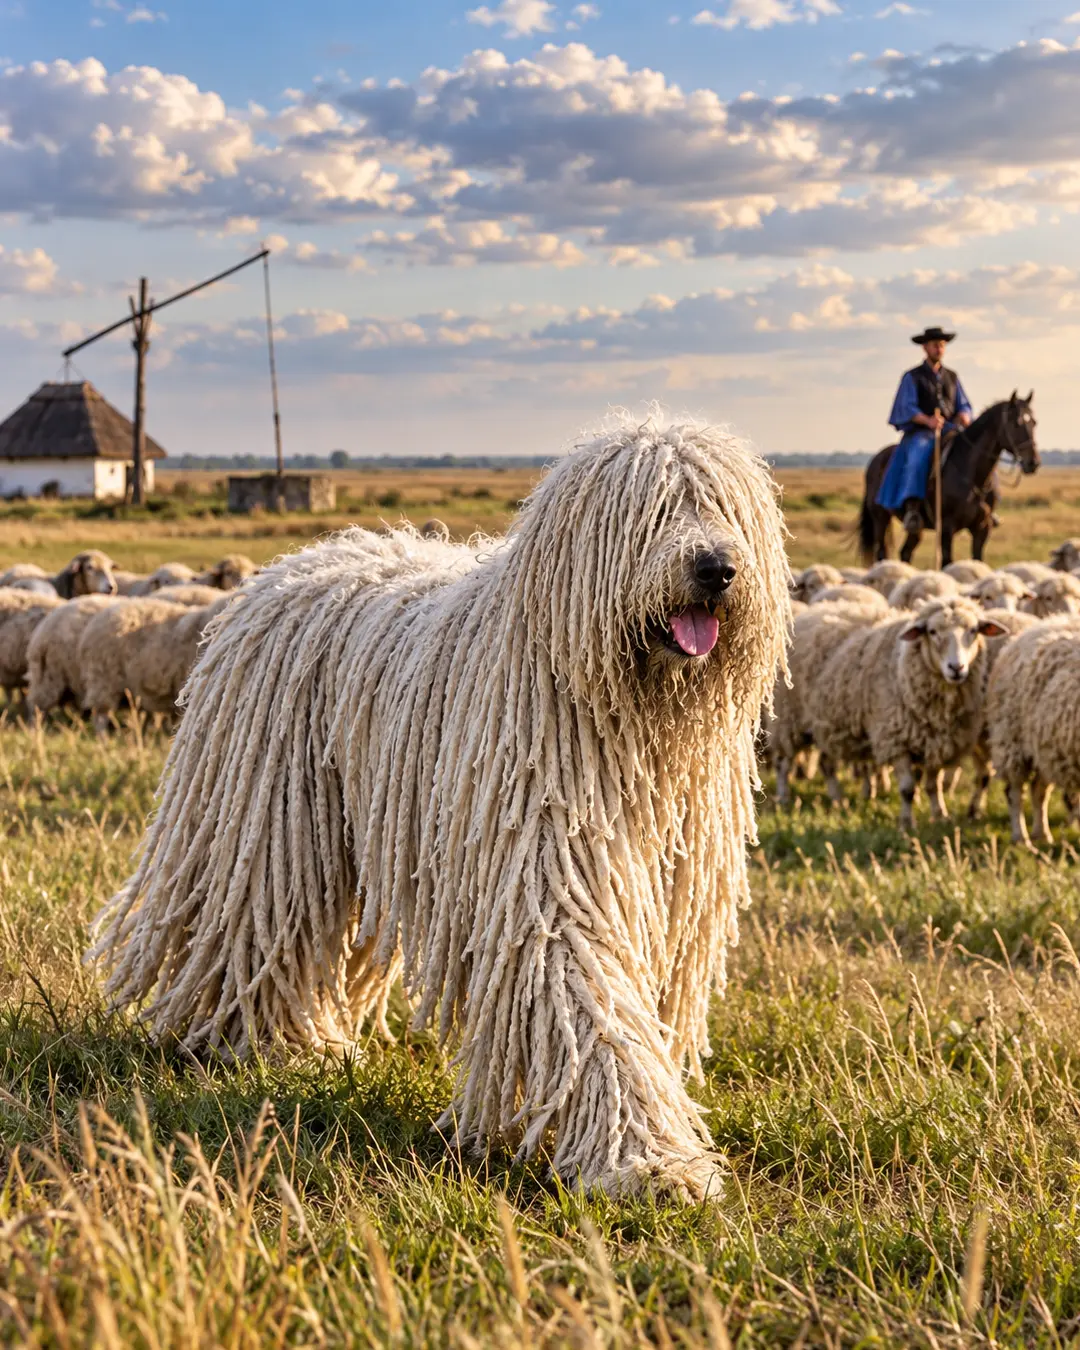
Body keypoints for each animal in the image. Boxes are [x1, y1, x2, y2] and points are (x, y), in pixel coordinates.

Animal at [807, 596, 1006, 831]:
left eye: (973, 630)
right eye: (932, 631)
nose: (956, 668)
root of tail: (824, 606)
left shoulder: (937, 742)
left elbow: (933, 785)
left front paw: (940, 815)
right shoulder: (896, 741)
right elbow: (907, 788)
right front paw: (906, 823)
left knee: (833, 762)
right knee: (819, 764)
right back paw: (833, 799)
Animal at [986, 618, 1080, 844]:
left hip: (1044, 748)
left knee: (1039, 791)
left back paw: (1042, 834)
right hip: (1011, 741)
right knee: (1014, 791)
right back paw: (1021, 838)